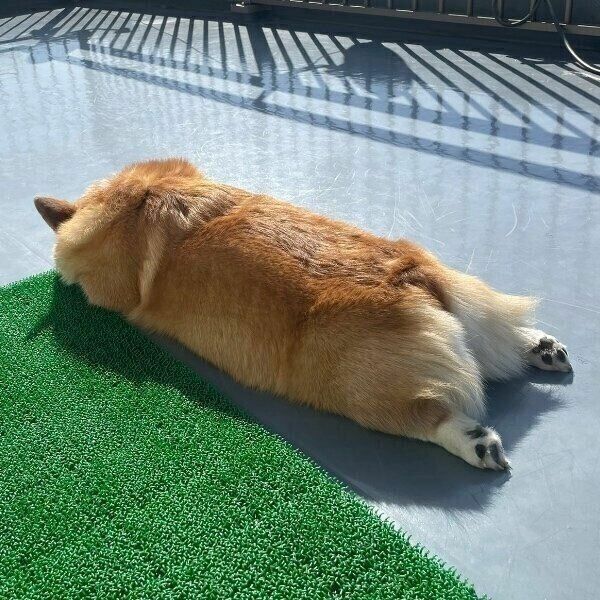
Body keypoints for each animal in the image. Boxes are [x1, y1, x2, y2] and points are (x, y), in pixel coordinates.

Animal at [34, 158, 572, 468]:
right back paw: (541, 348)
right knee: (501, 341)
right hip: (473, 305)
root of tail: (415, 274)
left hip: (368, 397)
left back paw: (476, 442)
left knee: (428, 416)